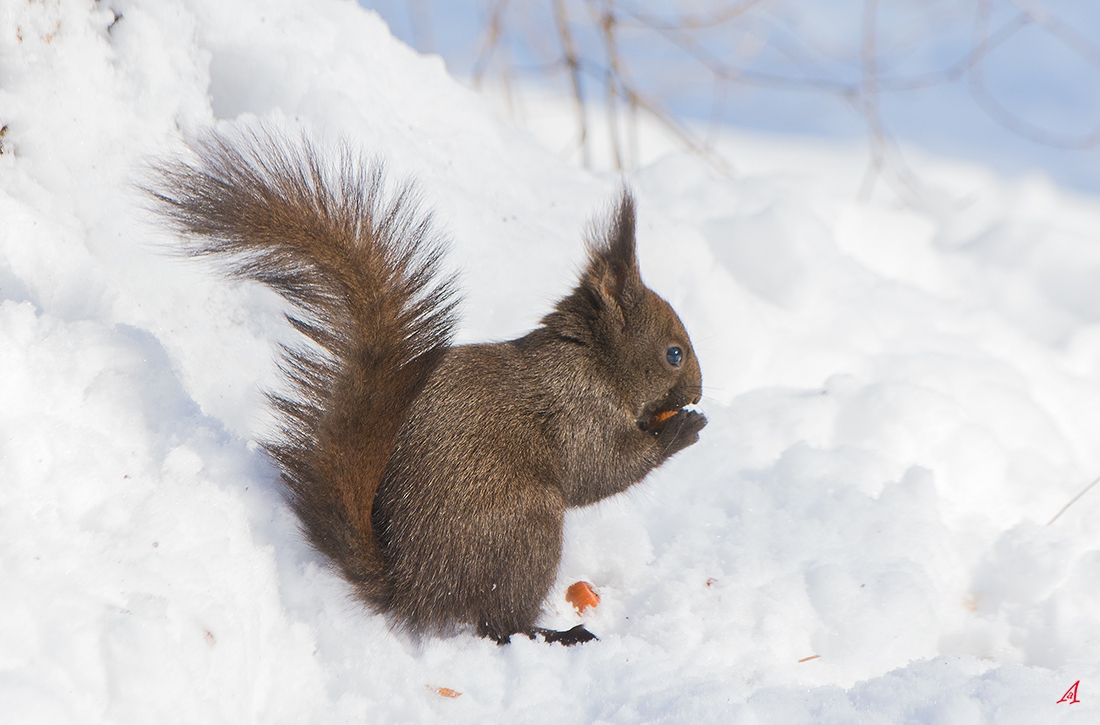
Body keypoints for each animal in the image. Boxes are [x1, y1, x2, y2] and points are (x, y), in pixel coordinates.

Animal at [148, 125, 704, 646]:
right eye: (673, 354)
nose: (698, 393)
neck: (590, 363)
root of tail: (414, 587)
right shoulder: (576, 411)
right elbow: (602, 469)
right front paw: (682, 430)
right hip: (529, 526)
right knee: (500, 624)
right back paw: (557, 633)